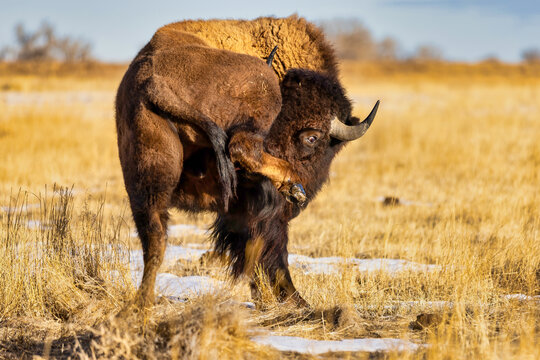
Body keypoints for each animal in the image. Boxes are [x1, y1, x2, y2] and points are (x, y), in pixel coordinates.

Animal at [116, 15, 378, 308]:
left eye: (312, 138)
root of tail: (154, 82)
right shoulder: (265, 212)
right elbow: (272, 247)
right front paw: (294, 300)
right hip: (261, 93)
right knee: (241, 148)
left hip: (146, 178)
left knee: (155, 239)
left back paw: (142, 303)